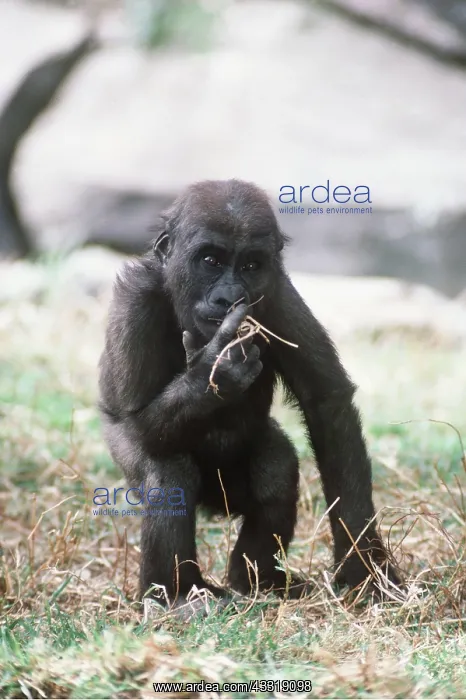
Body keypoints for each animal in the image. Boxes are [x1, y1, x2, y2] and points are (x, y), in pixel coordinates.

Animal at [98, 179, 400, 612]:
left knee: (276, 467)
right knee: (169, 473)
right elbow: (135, 421)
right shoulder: (134, 301)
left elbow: (326, 401)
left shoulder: (278, 294)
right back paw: (177, 594)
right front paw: (214, 372)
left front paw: (364, 566)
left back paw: (256, 579)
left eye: (251, 266)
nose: (228, 298)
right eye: (211, 260)